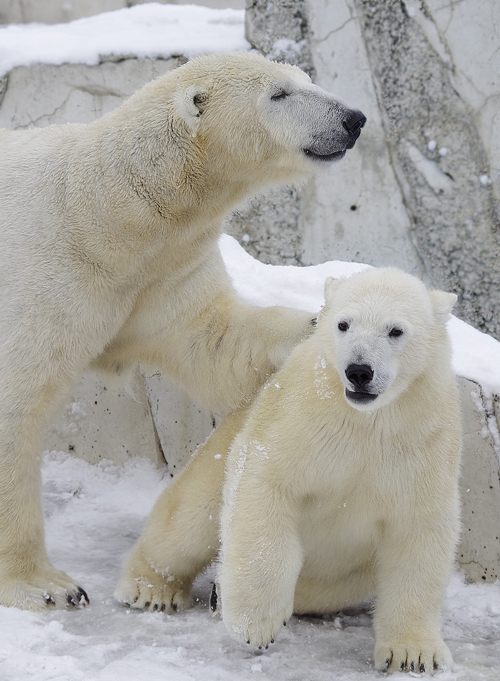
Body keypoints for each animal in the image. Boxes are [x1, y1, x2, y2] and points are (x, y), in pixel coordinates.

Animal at [0, 50, 366, 608]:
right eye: (279, 93)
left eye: (305, 78)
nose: (353, 119)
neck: (104, 211)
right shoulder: (46, 273)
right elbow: (16, 403)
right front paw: (45, 585)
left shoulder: (164, 270)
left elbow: (213, 340)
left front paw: (315, 325)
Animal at [116, 266, 460, 676]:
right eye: (343, 324)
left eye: (396, 330)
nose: (359, 371)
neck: (367, 421)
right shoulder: (301, 416)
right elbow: (268, 482)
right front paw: (255, 626)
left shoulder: (422, 443)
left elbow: (418, 533)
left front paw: (414, 655)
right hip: (225, 445)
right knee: (190, 519)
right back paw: (153, 589)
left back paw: (221, 592)